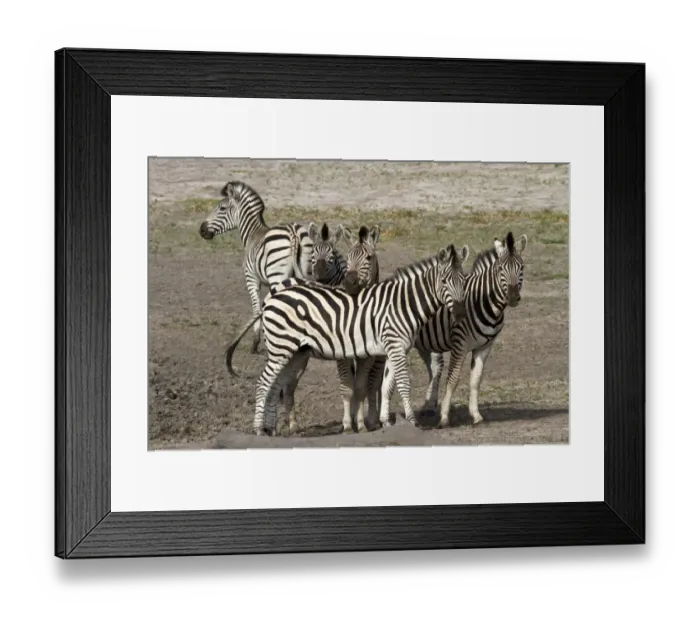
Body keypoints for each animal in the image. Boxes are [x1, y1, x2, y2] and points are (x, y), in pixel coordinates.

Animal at [199, 180, 313, 354]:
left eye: (222, 208)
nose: (202, 230)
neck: (252, 234)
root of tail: (293, 233)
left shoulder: (251, 279)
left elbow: (257, 308)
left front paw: (256, 343)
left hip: (277, 277)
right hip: (303, 272)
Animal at [224, 243, 468, 436]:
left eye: (464, 281)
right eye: (444, 281)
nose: (459, 313)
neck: (403, 303)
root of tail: (271, 298)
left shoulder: (392, 350)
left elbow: (387, 385)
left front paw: (386, 421)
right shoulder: (395, 346)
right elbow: (403, 384)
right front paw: (411, 421)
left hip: (292, 352)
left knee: (276, 386)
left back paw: (271, 430)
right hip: (281, 348)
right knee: (264, 383)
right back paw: (258, 429)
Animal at [385, 231, 527, 430]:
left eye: (521, 267)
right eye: (500, 269)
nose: (513, 297)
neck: (483, 301)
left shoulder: (484, 346)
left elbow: (475, 380)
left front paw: (476, 415)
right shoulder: (459, 343)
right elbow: (453, 380)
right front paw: (444, 418)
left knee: (432, 368)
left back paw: (427, 407)